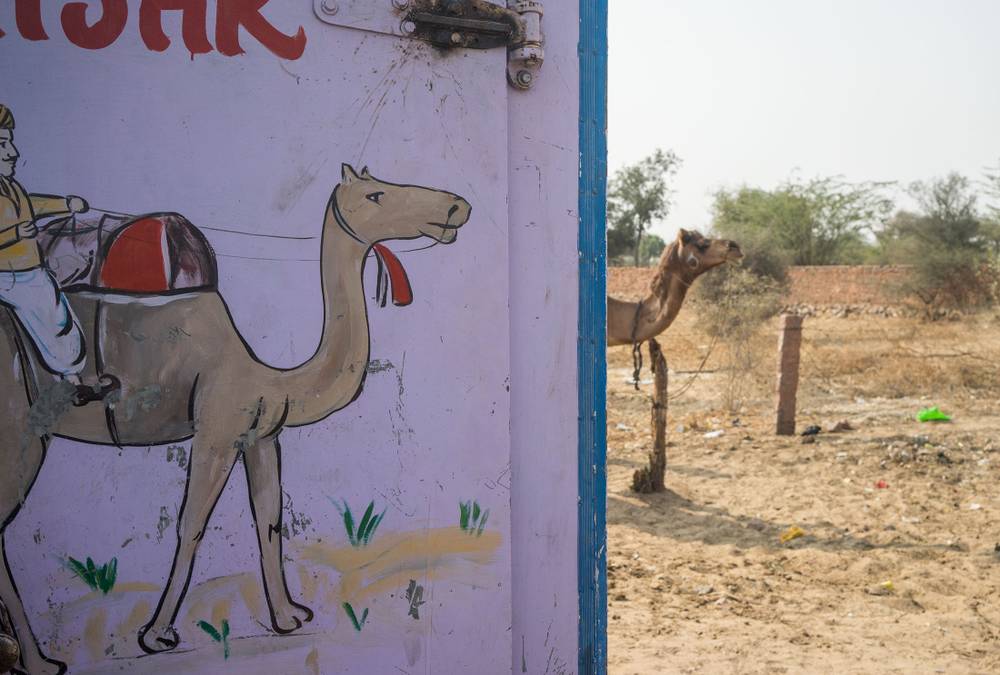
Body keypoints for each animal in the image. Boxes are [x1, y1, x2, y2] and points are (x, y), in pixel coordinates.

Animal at [0, 165, 472, 675]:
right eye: (375, 195)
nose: (457, 206)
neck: (274, 379)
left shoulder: (260, 436)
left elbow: (269, 519)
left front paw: (289, 617)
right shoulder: (217, 428)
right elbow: (192, 524)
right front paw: (156, 635)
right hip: (20, 427)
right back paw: (41, 662)